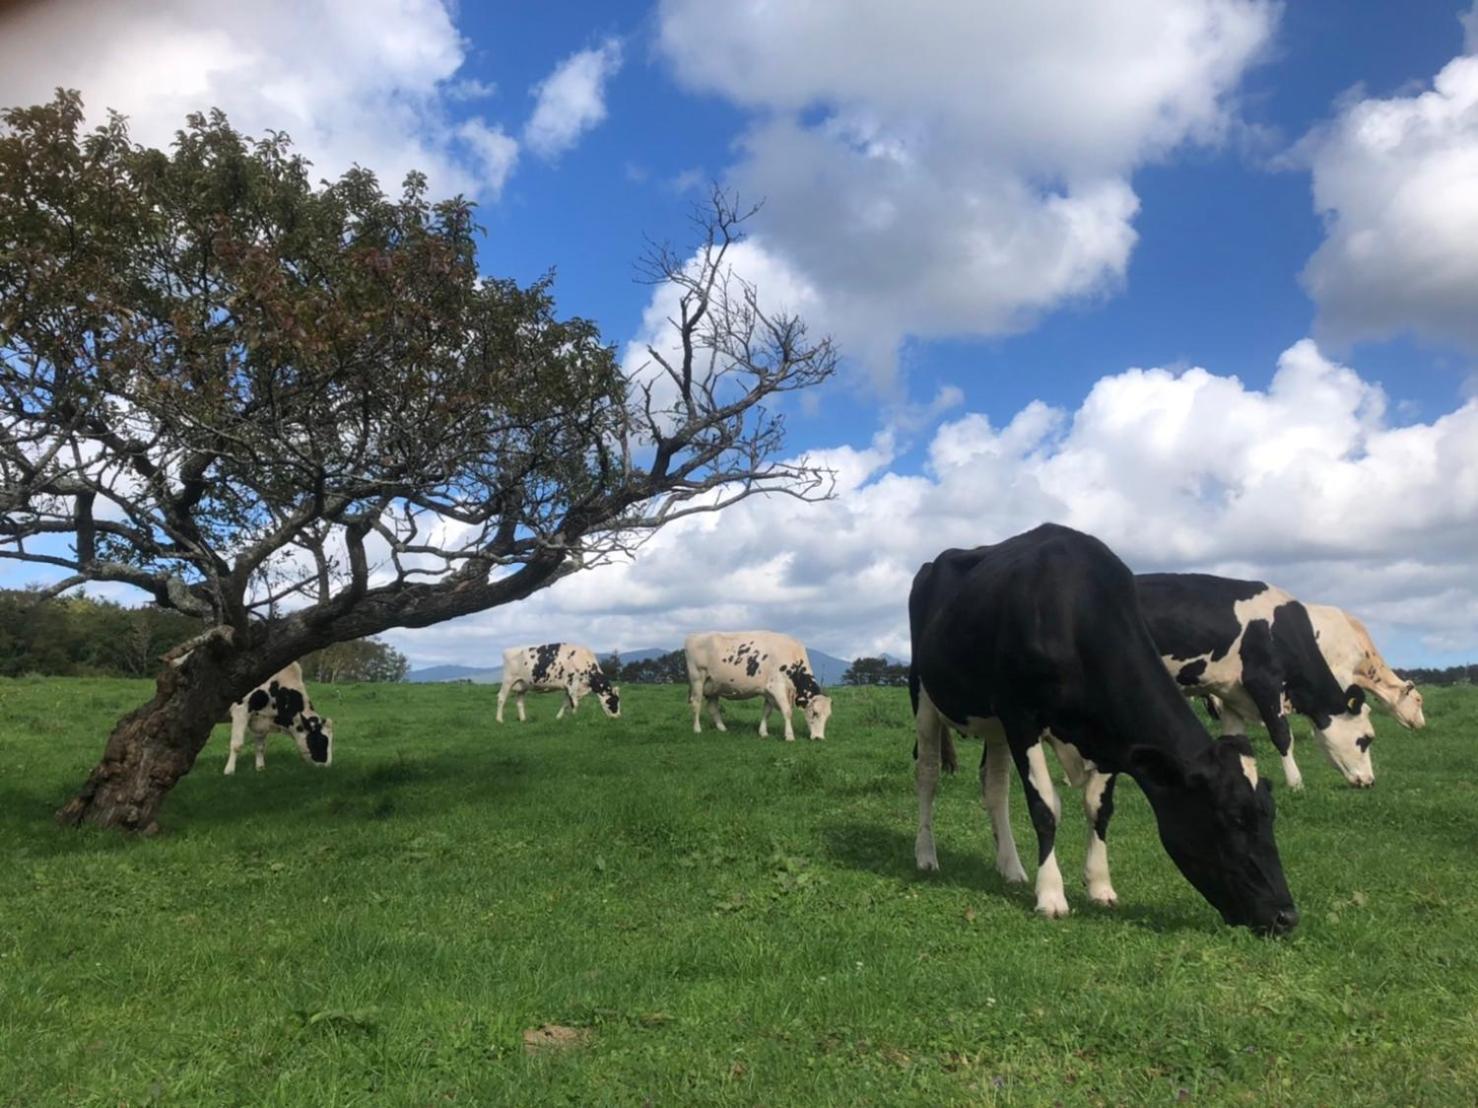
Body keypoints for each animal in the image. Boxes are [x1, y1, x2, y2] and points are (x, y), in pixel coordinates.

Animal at [682, 632, 833, 747]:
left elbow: (766, 712)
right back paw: (697, 729)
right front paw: (789, 736)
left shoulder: (768, 692)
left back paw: (722, 728)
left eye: (828, 715)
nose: (819, 738)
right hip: (698, 679)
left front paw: (763, 733)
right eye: (815, 713)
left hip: (714, 685)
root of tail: (693, 636)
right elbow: (787, 712)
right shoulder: (777, 687)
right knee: (696, 703)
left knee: (712, 708)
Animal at [904, 525, 1300, 933]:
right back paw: (927, 855)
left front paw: (1100, 886)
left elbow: (1099, 808)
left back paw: (1011, 868)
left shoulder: (1110, 737)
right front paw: (1051, 896)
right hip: (923, 692)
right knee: (928, 774)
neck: (1074, 612)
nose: (1286, 916)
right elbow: (1045, 807)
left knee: (995, 786)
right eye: (1231, 818)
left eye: (1269, 815)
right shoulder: (1021, 718)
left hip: (993, 721)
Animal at [1135, 576, 1377, 791]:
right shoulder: (1264, 681)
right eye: (1366, 739)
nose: (1370, 781)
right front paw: (1296, 783)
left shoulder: (1229, 692)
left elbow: (1236, 739)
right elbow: (1282, 734)